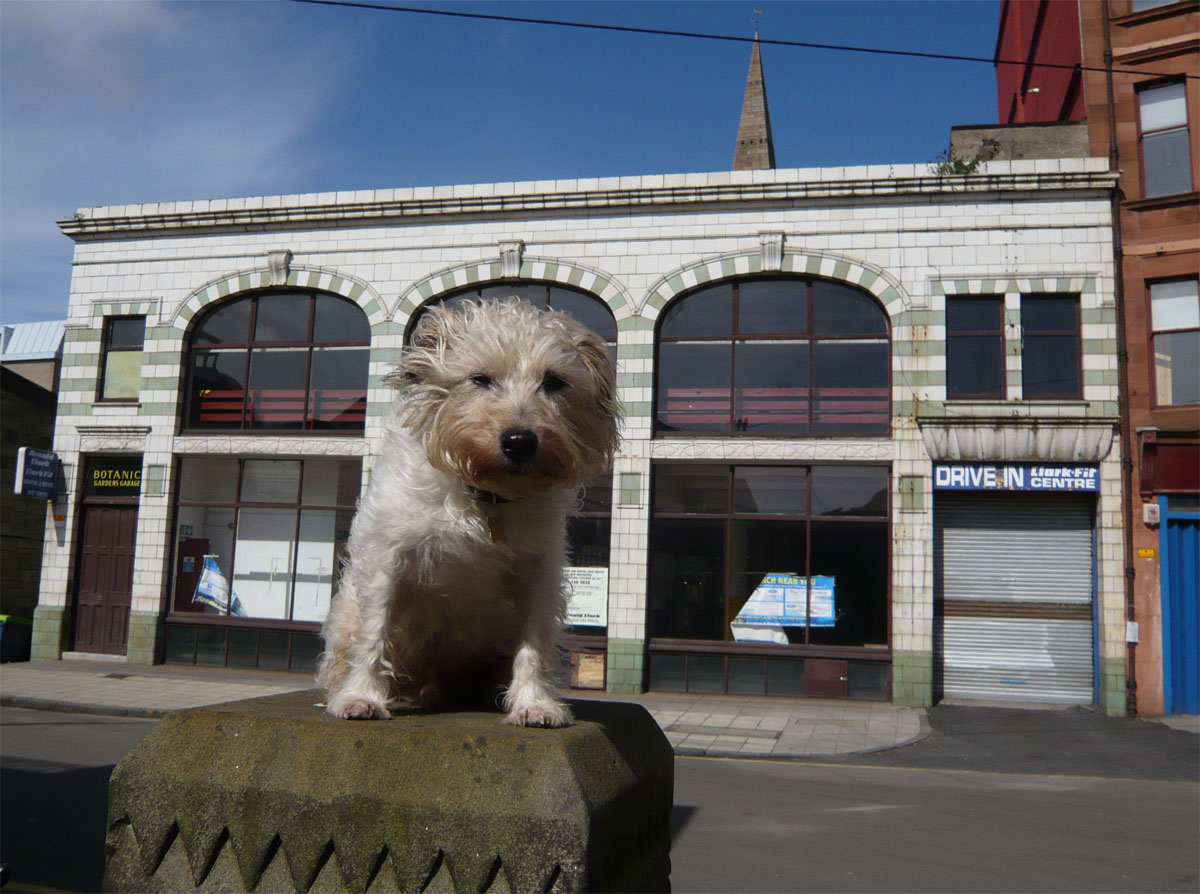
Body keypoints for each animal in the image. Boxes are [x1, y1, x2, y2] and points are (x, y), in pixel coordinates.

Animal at [319, 297, 619, 724]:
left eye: (554, 382)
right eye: (480, 379)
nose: (519, 441)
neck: (484, 496)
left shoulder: (539, 568)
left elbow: (535, 642)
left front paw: (534, 702)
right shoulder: (387, 558)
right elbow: (374, 632)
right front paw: (361, 696)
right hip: (345, 615)